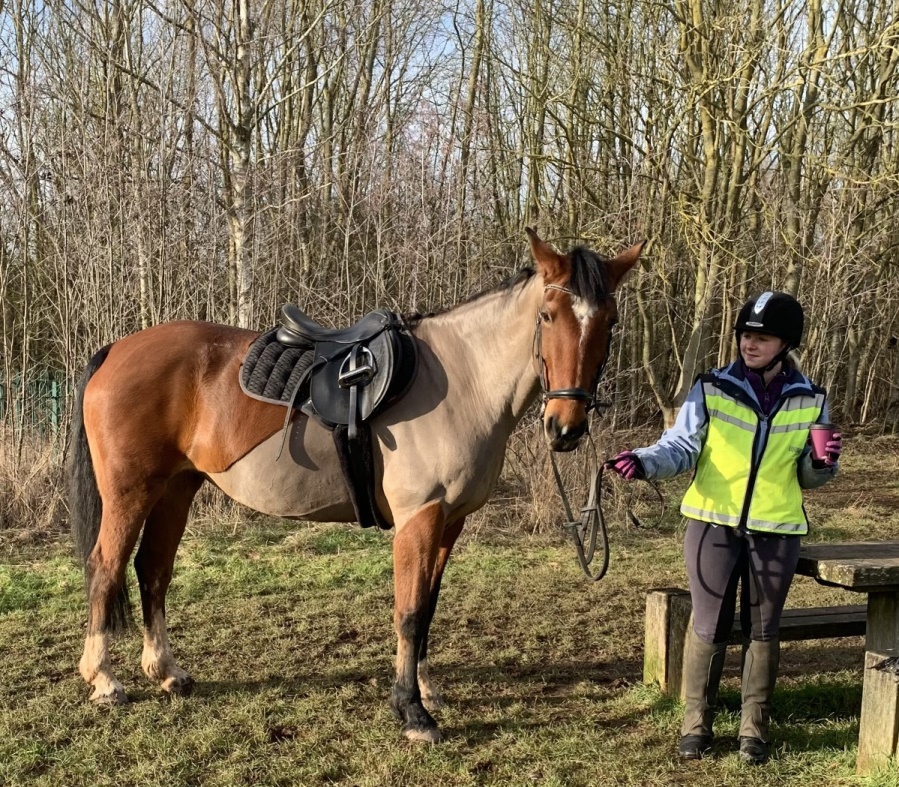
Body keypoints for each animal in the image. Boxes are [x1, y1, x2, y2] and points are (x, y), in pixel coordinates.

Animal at [70, 229, 648, 744]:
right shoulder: (420, 517)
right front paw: (413, 714)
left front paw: (424, 690)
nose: (566, 428)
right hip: (131, 491)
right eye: (547, 316)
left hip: (176, 488)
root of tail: (117, 350)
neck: (464, 382)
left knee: (153, 570)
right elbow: (409, 613)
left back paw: (167, 672)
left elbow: (428, 608)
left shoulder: (450, 522)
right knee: (106, 568)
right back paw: (104, 680)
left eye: (611, 321)